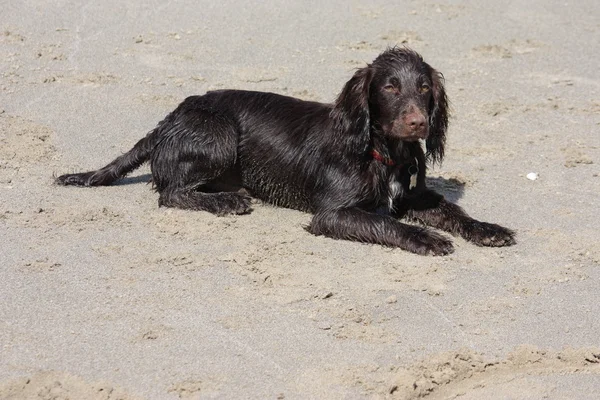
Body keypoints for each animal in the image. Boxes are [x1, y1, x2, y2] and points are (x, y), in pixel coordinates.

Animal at [57, 46, 516, 253]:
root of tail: (167, 120)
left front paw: (488, 228)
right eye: (389, 88)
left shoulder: (408, 195)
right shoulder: (333, 214)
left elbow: (451, 209)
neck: (381, 151)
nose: (418, 123)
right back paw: (226, 202)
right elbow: (387, 224)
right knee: (170, 193)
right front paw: (425, 237)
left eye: (423, 88)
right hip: (219, 134)